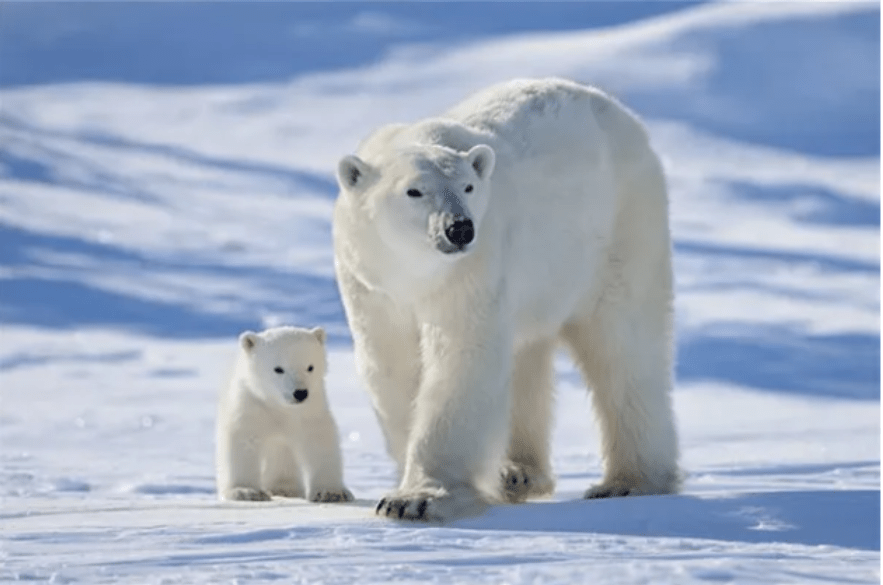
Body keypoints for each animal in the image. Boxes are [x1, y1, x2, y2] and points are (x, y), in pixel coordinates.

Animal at [334, 77, 680, 520]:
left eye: (468, 186)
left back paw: (628, 482)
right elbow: (393, 364)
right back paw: (517, 473)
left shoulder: (471, 271)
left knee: (623, 346)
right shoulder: (373, 285)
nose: (459, 229)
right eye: (414, 191)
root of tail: (618, 111)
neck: (415, 272)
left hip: (619, 230)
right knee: (526, 357)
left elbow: (462, 358)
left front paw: (418, 499)